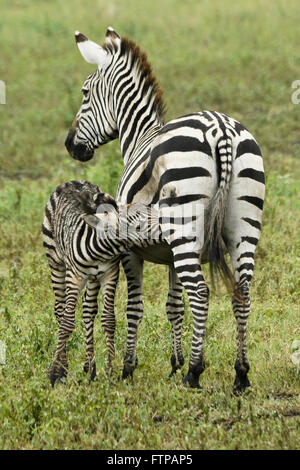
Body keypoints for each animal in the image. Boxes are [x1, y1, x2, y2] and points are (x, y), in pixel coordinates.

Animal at [42, 180, 162, 386]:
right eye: (137, 226)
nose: (168, 225)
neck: (99, 251)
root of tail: (74, 181)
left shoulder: (110, 274)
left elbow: (108, 319)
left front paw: (109, 372)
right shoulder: (75, 277)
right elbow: (67, 322)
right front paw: (55, 373)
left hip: (93, 280)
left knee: (88, 311)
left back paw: (90, 368)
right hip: (56, 262)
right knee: (59, 309)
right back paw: (66, 366)